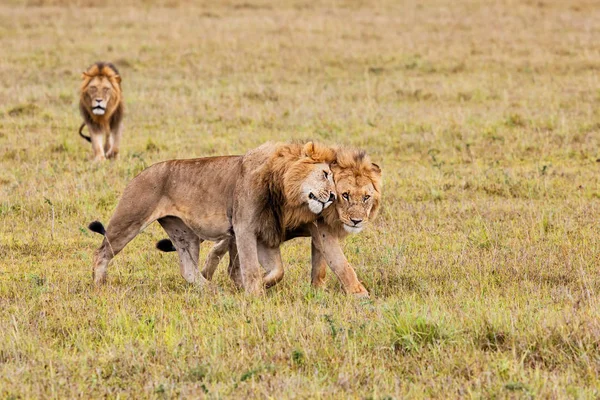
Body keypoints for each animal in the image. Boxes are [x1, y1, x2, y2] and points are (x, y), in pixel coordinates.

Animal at [88, 141, 338, 294]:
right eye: (325, 174)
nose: (334, 196)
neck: (280, 187)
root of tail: (139, 174)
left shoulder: (262, 231)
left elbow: (277, 270)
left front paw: (259, 286)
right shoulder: (244, 227)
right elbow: (250, 267)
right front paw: (254, 293)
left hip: (183, 233)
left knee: (188, 270)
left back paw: (214, 291)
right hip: (130, 219)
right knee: (101, 253)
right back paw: (99, 286)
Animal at [155, 148, 380, 296]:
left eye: (366, 197)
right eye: (346, 195)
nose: (356, 221)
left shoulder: (318, 230)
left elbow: (321, 265)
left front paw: (317, 290)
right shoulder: (319, 227)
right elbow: (340, 263)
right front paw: (359, 294)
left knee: (224, 253)